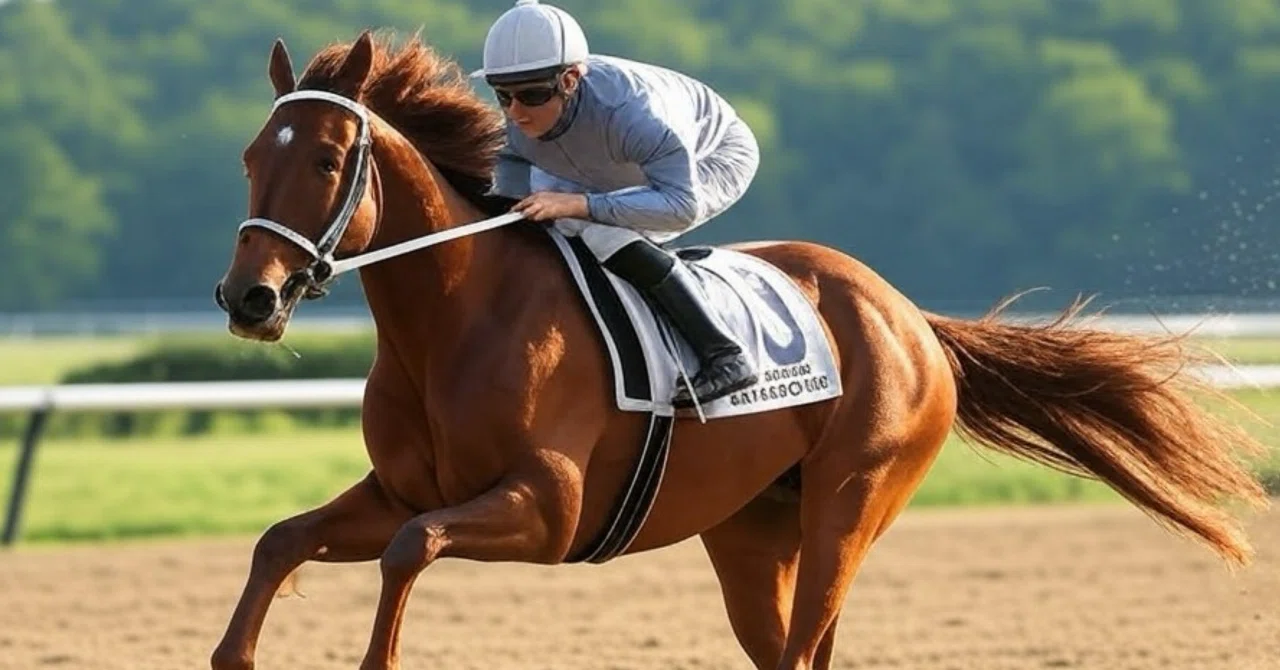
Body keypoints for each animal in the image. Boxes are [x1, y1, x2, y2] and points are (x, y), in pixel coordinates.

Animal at [209, 31, 1270, 670]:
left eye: (327, 160)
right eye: (251, 157)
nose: (248, 298)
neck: (456, 322)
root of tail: (912, 318)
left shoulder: (547, 511)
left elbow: (410, 548)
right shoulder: (402, 488)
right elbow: (282, 540)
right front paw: (235, 651)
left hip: (850, 504)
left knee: (808, 644)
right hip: (752, 529)